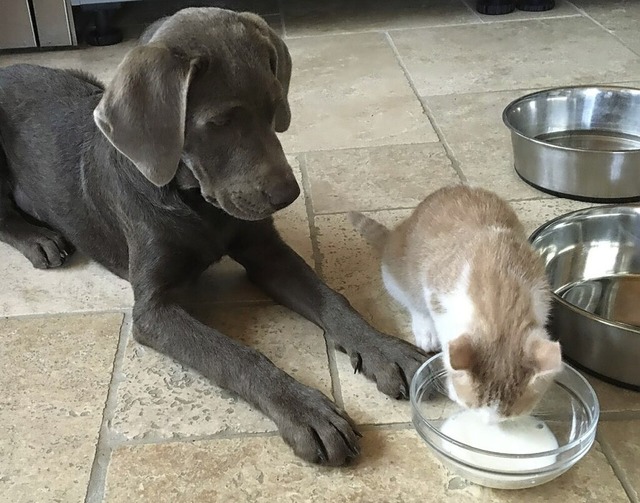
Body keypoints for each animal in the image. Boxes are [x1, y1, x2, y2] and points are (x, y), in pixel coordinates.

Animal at [1, 7, 430, 466]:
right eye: (220, 123)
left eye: (274, 109)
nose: (288, 196)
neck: (197, 203)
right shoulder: (153, 310)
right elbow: (233, 354)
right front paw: (306, 410)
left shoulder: (267, 252)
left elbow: (334, 300)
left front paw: (384, 348)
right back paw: (39, 240)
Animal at [348, 185, 564, 422]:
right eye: (473, 407)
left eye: (506, 418)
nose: (487, 425)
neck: (503, 297)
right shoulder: (436, 291)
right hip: (396, 275)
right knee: (413, 301)